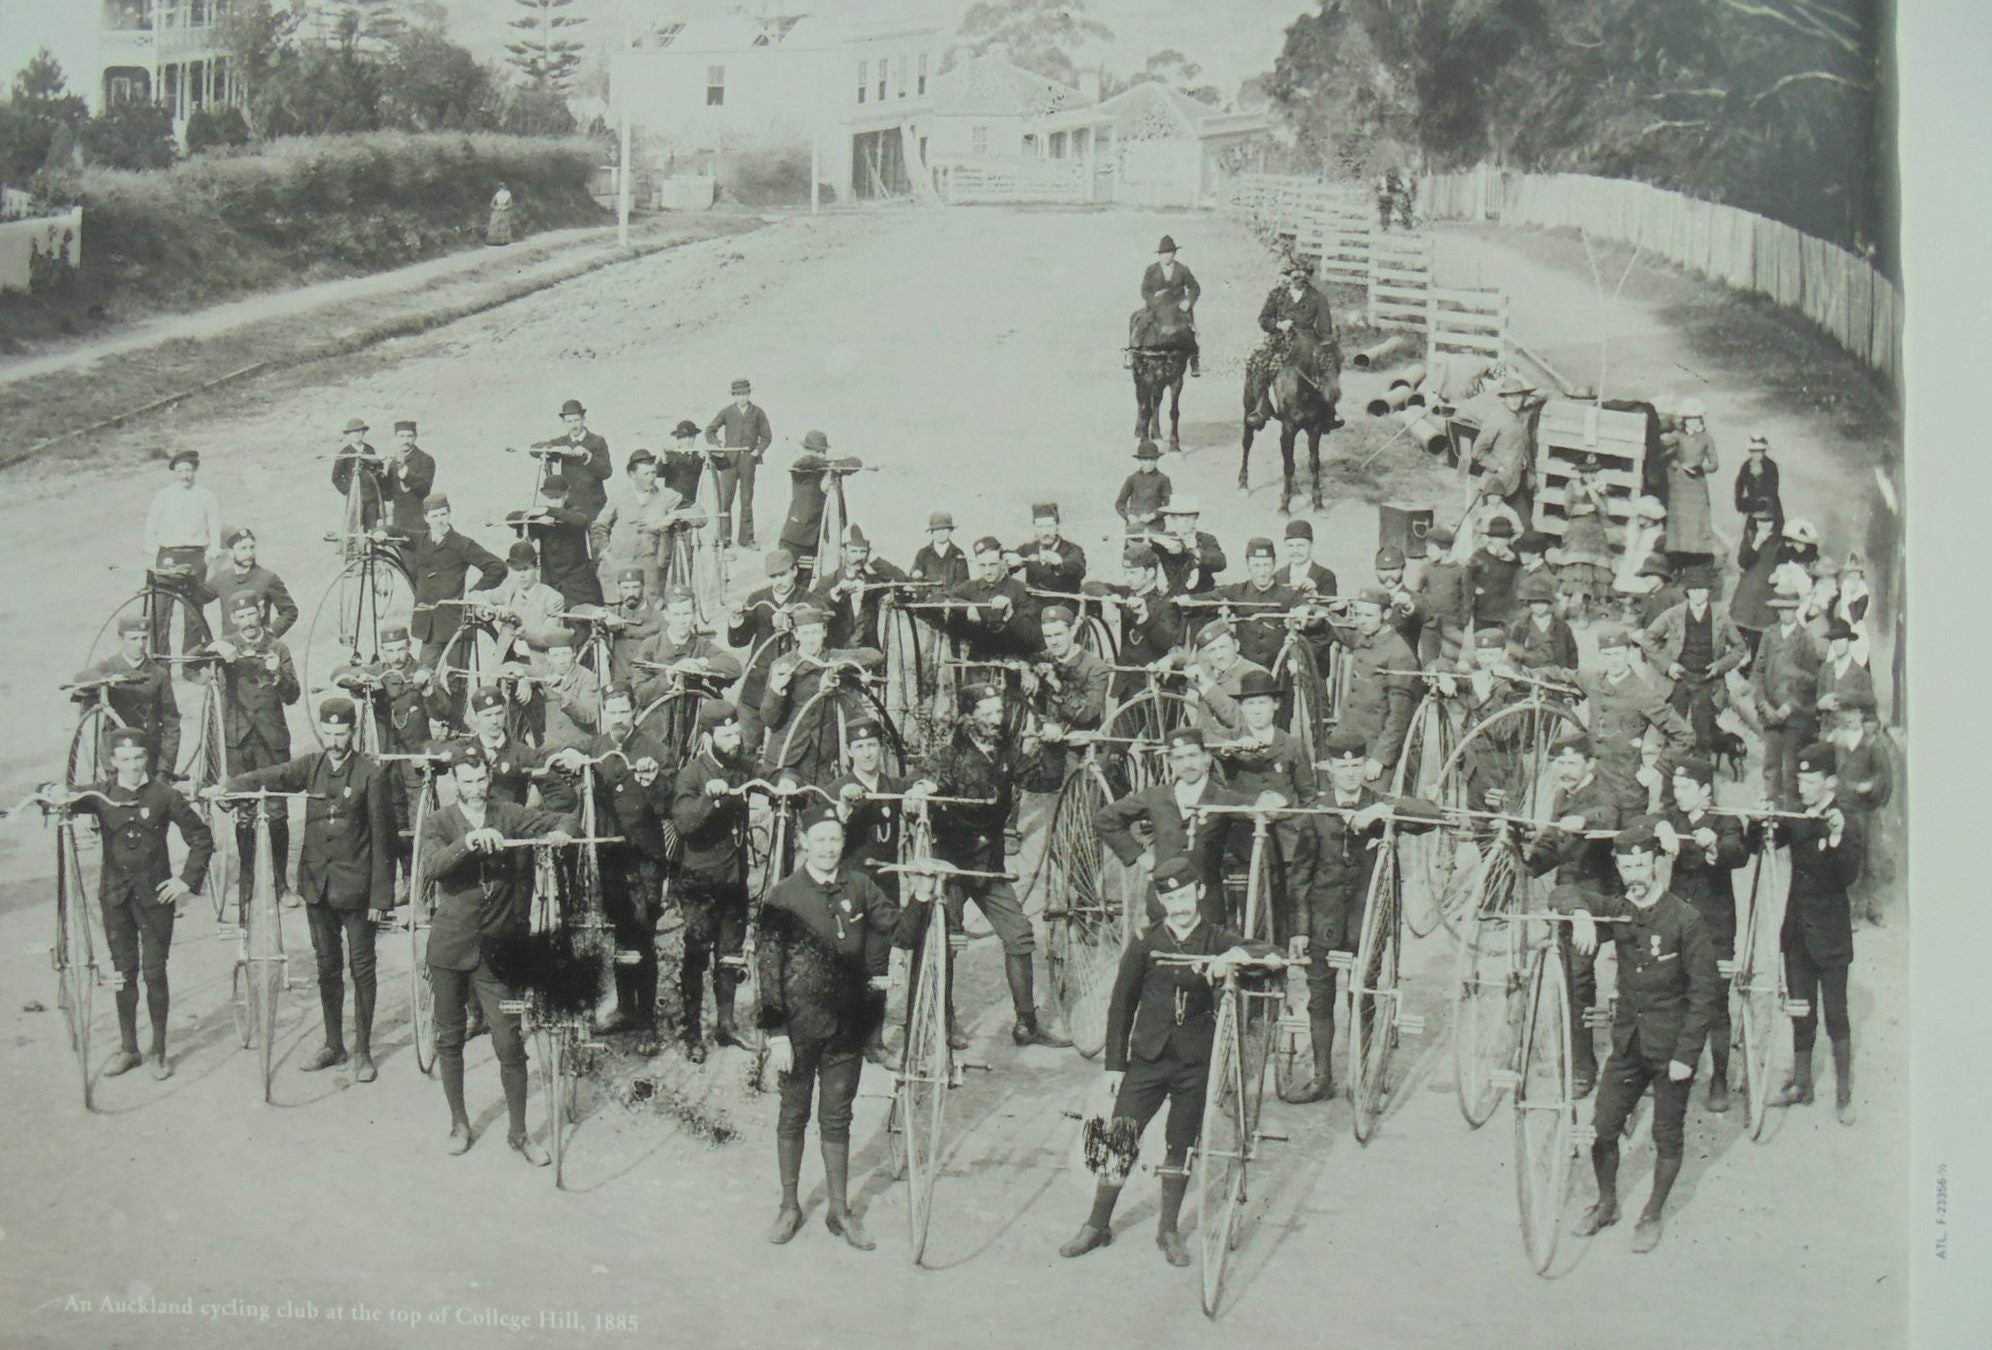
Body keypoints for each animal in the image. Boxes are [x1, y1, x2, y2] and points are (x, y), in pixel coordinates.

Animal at [1131, 296, 1187, 450]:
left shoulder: (1176, 380)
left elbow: (1174, 412)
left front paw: (1174, 446)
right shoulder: (1147, 378)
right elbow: (1145, 410)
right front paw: (1143, 441)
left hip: (1159, 383)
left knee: (1156, 402)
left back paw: (1156, 434)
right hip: (1139, 379)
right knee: (1141, 402)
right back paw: (1138, 432)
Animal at [1235, 336, 1346, 513]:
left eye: (1342, 359)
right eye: (1320, 361)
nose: (1334, 395)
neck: (1304, 391)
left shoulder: (1314, 429)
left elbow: (1313, 463)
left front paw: (1318, 503)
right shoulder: (1288, 428)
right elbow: (1288, 465)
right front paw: (1284, 506)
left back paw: (1296, 490)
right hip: (1248, 408)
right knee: (1247, 443)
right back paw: (1243, 485)